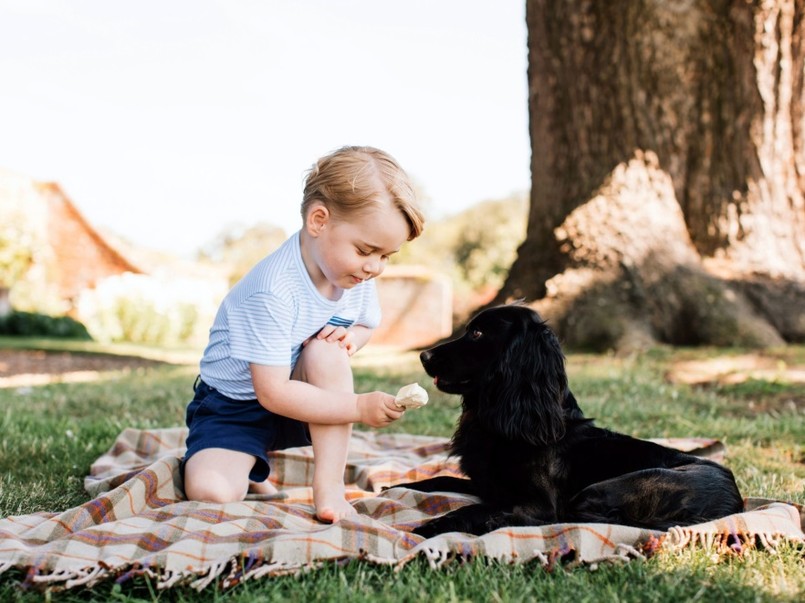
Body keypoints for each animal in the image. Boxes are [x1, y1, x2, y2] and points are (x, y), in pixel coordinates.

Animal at [396, 306, 740, 536]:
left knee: (567, 519)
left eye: (477, 333)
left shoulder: (537, 501)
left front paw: (431, 527)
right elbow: (435, 480)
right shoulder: (488, 485)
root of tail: (732, 505)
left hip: (605, 489)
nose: (423, 356)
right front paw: (393, 487)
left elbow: (479, 507)